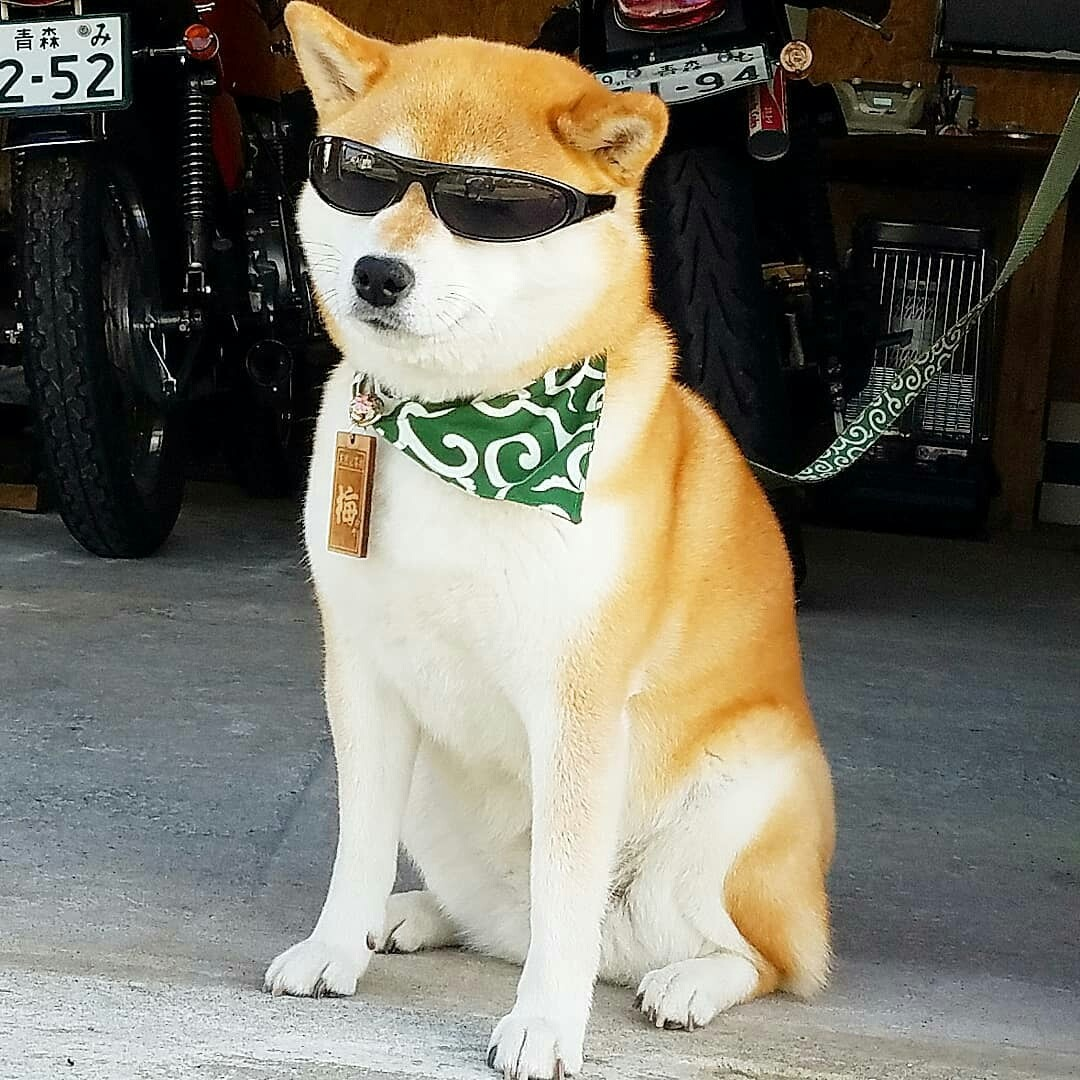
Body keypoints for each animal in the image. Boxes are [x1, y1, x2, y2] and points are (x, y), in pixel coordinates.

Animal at [265, 4, 838, 1075]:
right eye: (362, 177)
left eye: (489, 205)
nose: (378, 271)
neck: (462, 431)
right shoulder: (361, 670)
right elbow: (356, 842)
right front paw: (334, 944)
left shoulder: (578, 699)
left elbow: (564, 895)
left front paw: (544, 1024)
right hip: (435, 792)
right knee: (496, 921)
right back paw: (410, 916)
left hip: (739, 800)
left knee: (763, 956)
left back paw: (688, 982)